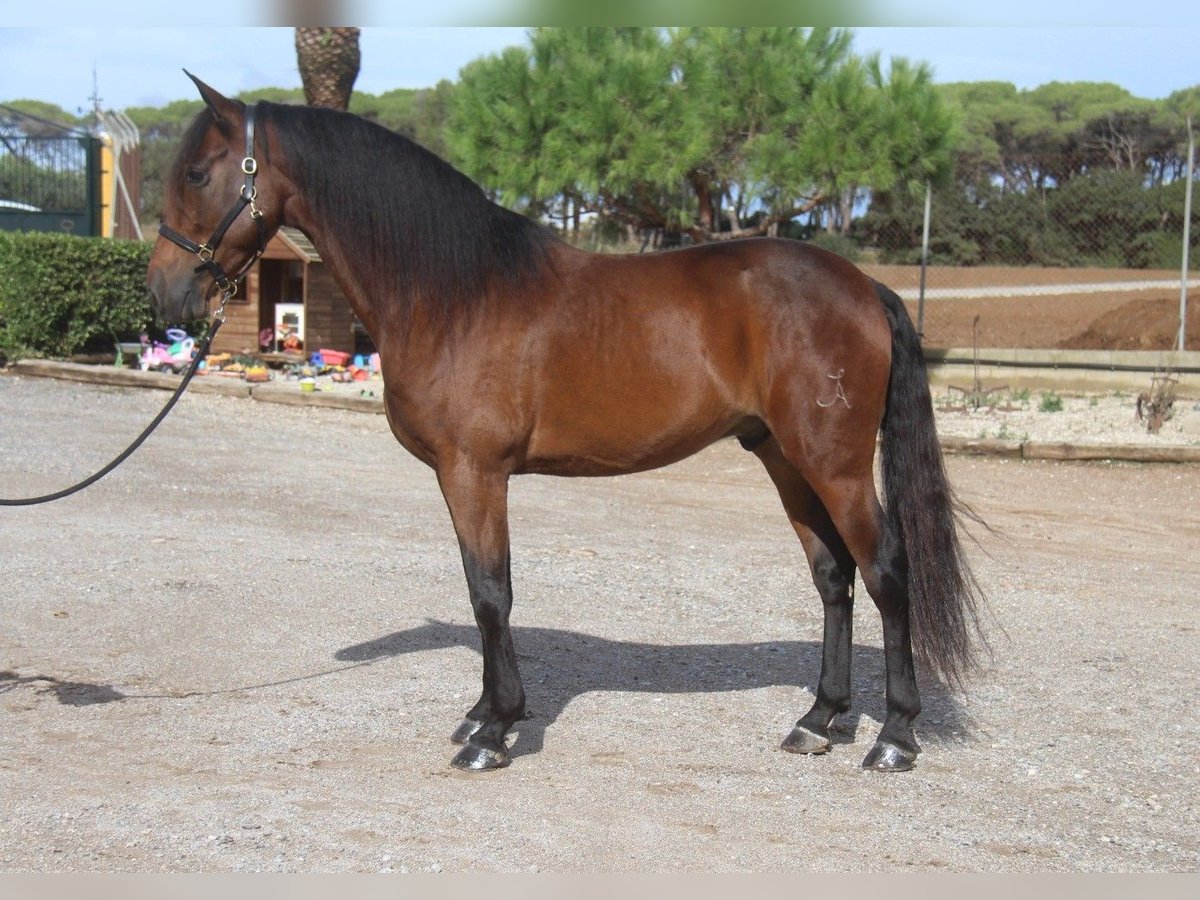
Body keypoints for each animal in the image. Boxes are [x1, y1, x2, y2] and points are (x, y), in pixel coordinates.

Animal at [148, 74, 986, 773]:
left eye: (197, 174)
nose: (164, 294)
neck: (454, 292)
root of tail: (865, 286)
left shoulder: (475, 471)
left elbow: (491, 592)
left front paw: (493, 732)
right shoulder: (464, 478)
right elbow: (478, 585)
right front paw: (483, 712)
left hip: (834, 463)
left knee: (886, 574)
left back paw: (893, 736)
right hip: (784, 457)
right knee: (834, 576)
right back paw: (819, 719)